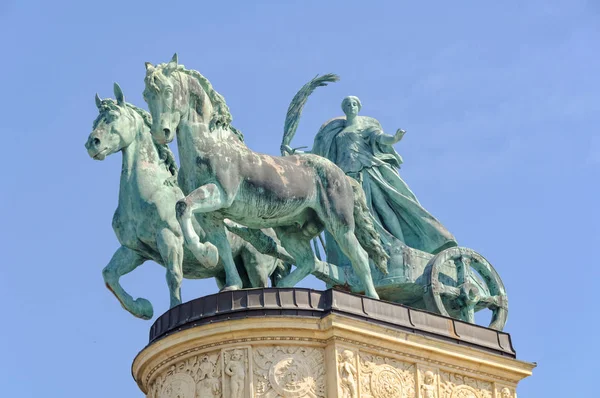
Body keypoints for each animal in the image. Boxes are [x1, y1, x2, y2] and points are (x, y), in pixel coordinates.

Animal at [143, 53, 386, 298]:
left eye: (168, 90)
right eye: (146, 95)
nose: (161, 132)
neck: (212, 144)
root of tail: (345, 177)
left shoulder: (221, 195)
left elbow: (182, 205)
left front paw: (206, 254)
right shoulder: (211, 215)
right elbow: (221, 245)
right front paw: (229, 280)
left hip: (339, 222)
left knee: (360, 256)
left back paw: (372, 299)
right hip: (291, 230)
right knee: (309, 262)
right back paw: (282, 288)